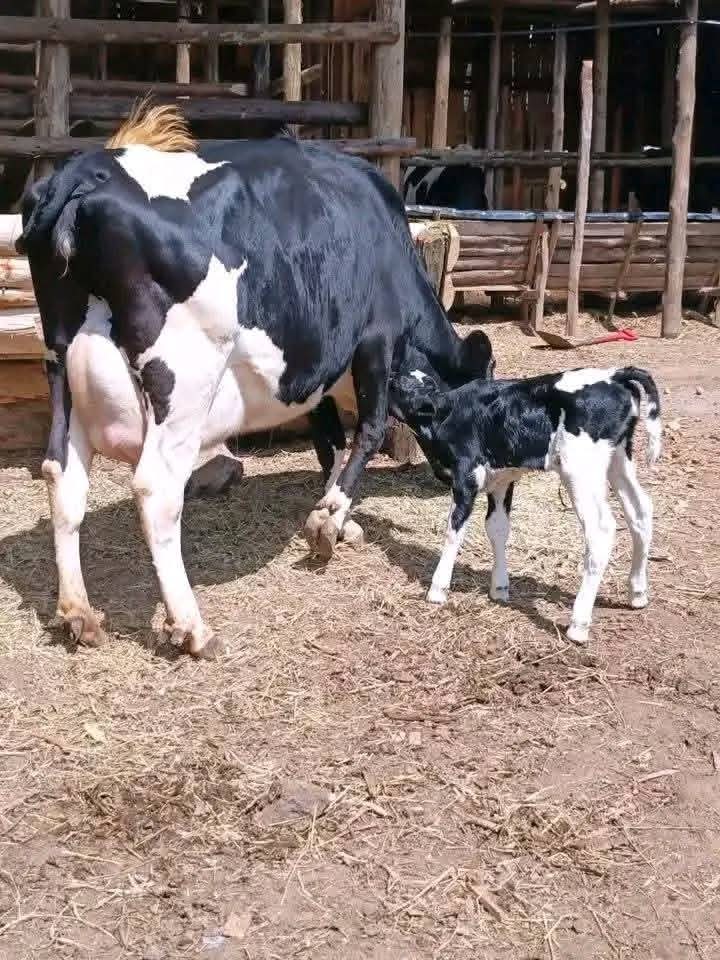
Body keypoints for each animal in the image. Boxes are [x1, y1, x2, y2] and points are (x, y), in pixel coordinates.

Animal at [18, 104, 495, 659]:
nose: (457, 476)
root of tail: (78, 175)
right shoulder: (376, 339)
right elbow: (369, 432)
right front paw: (329, 521)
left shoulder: (314, 367)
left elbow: (328, 443)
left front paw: (337, 514)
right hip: (184, 382)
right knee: (157, 490)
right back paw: (191, 627)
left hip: (61, 368)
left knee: (63, 476)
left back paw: (78, 613)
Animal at [388, 365, 661, 646]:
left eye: (396, 385)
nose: (390, 375)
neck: (446, 414)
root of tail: (615, 374)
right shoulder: (501, 479)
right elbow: (497, 529)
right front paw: (499, 587)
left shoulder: (466, 477)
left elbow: (454, 530)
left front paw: (437, 589)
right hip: (619, 458)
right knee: (640, 510)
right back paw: (638, 593)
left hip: (580, 469)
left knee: (601, 530)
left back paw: (578, 624)